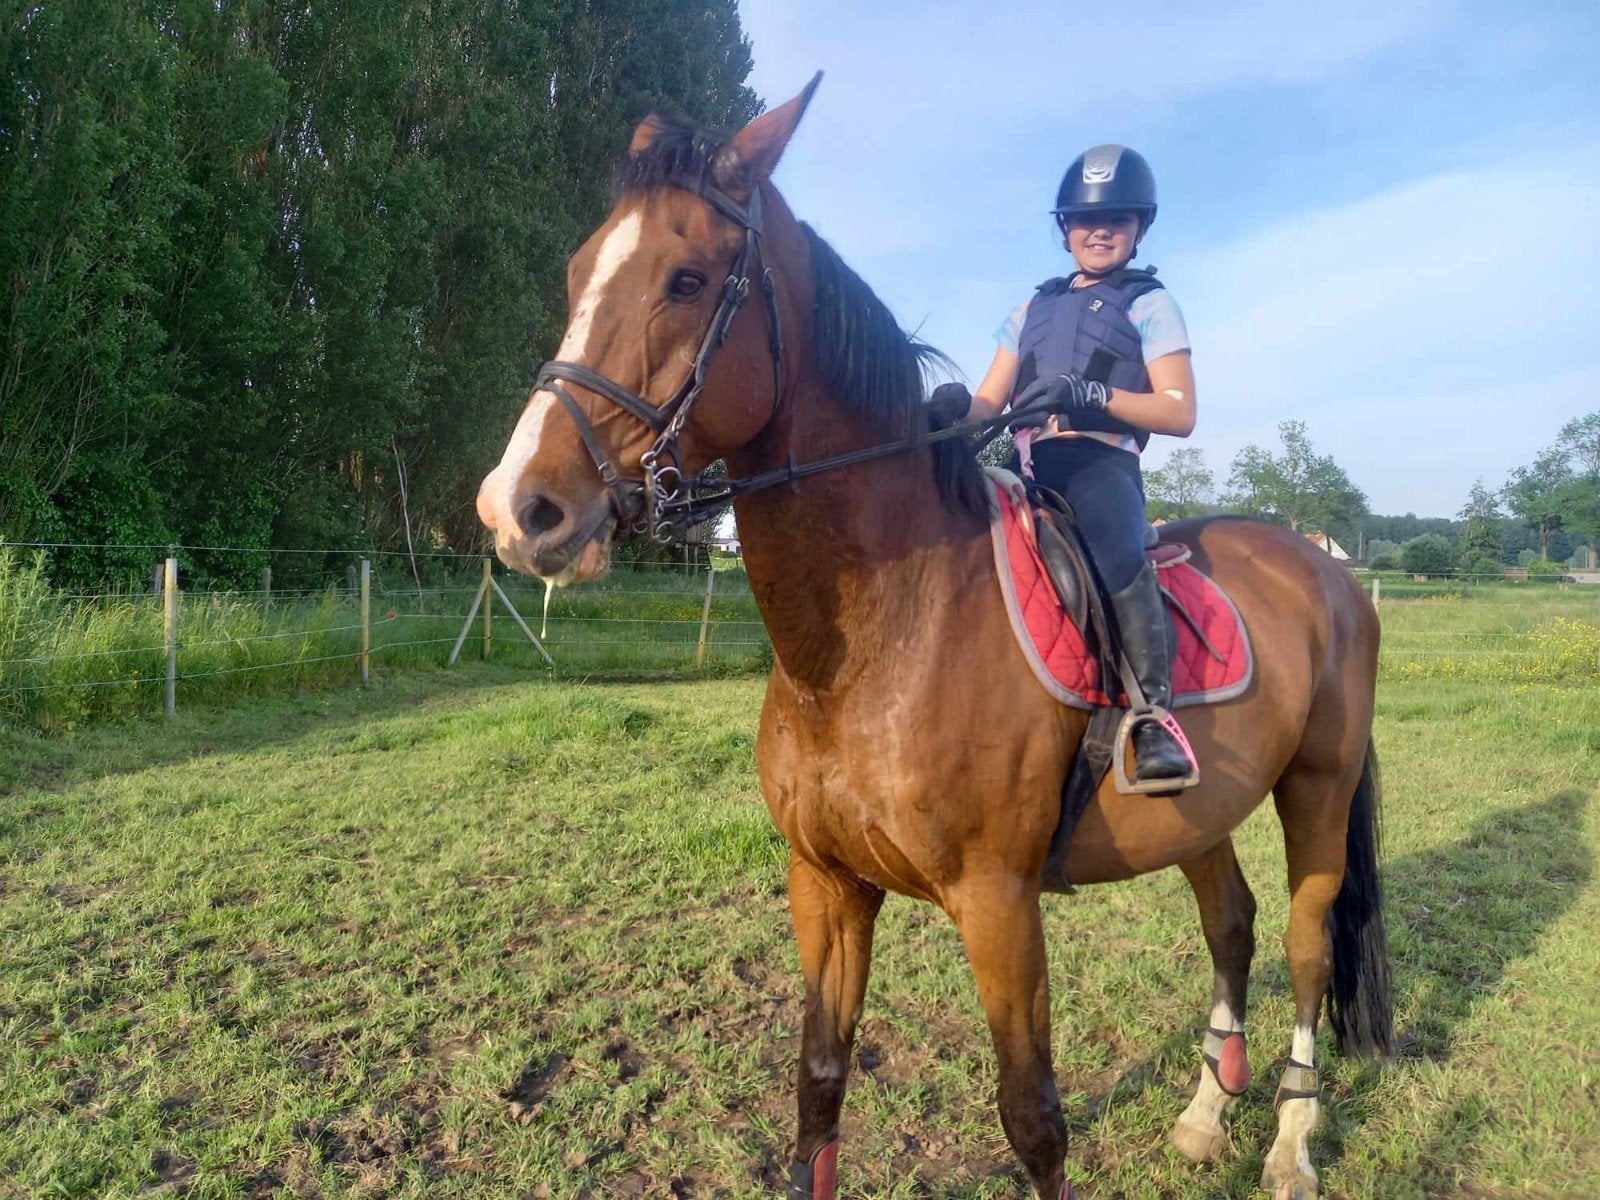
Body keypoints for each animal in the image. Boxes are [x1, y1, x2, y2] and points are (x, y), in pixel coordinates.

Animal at [476, 77, 1390, 1200]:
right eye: (577, 274)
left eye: (686, 280)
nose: (521, 507)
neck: (876, 644)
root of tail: (1325, 569)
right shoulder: (826, 884)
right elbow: (819, 1084)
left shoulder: (998, 902)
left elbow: (1033, 1118)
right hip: (1200, 810)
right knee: (1233, 922)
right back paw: (1205, 1113)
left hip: (1317, 789)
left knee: (1307, 945)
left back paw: (1291, 1141)